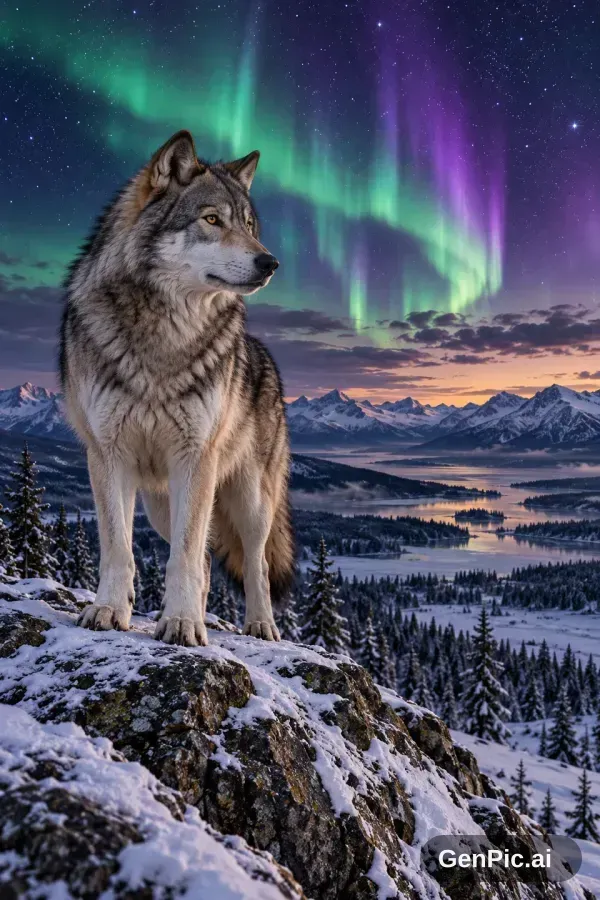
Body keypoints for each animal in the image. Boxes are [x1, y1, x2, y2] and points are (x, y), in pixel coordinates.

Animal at [60, 130, 294, 646]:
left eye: (249, 224)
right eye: (212, 220)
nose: (270, 262)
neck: (165, 332)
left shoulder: (196, 458)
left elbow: (185, 557)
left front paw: (183, 624)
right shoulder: (107, 455)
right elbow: (118, 549)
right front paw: (110, 609)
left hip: (249, 500)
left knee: (255, 564)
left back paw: (260, 624)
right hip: (160, 505)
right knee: (206, 563)